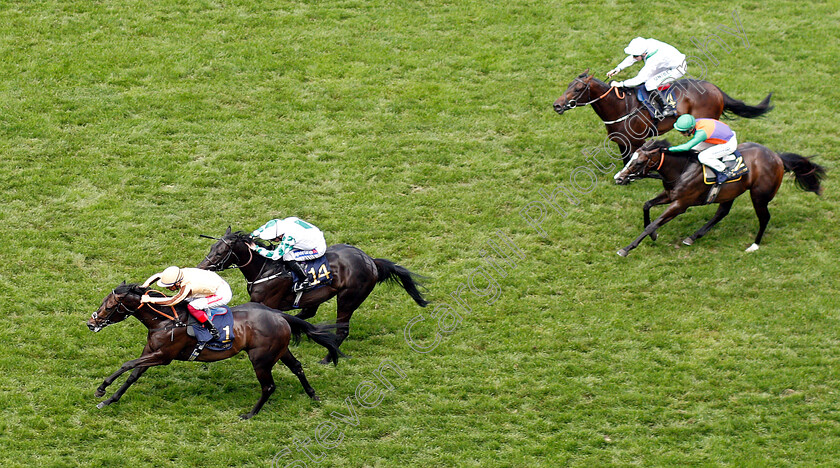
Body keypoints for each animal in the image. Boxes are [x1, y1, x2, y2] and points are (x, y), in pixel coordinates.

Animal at [88, 284, 342, 418]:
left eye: (109, 307)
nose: (91, 323)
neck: (165, 321)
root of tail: (279, 314)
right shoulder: (151, 352)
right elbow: (132, 375)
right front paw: (109, 399)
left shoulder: (163, 356)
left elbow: (127, 364)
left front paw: (101, 389)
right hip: (280, 351)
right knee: (298, 367)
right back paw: (313, 395)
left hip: (261, 358)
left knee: (269, 386)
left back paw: (250, 414)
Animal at [200, 229, 430, 364]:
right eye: (211, 247)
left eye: (220, 252)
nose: (202, 267)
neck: (265, 268)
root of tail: (370, 261)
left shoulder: (262, 303)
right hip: (319, 297)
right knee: (309, 314)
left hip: (348, 299)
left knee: (342, 329)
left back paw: (328, 357)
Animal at [556, 69, 772, 165]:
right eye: (568, 85)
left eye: (578, 89)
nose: (556, 105)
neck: (620, 107)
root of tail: (716, 89)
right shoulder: (622, 141)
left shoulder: (637, 141)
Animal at [612, 140, 824, 256]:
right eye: (631, 158)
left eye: (638, 162)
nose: (619, 178)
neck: (682, 170)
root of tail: (778, 158)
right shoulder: (670, 195)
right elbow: (646, 205)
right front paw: (654, 235)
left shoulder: (681, 204)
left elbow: (653, 223)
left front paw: (627, 248)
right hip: (731, 192)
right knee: (722, 212)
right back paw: (692, 237)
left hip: (759, 196)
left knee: (764, 218)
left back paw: (754, 245)